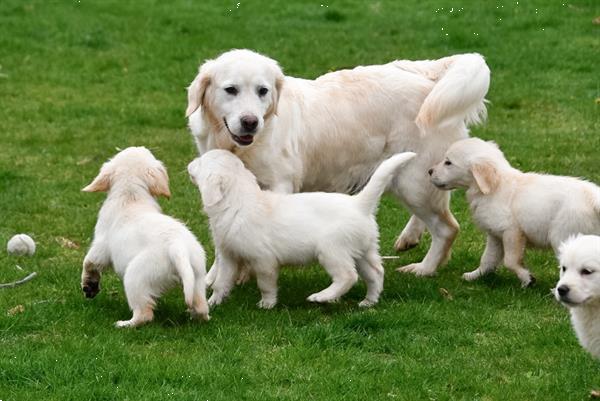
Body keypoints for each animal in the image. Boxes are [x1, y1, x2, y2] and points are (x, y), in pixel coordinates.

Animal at [81, 145, 210, 326]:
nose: (141, 146)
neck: (130, 196)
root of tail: (177, 247)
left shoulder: (101, 246)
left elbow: (89, 262)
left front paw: (89, 286)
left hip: (135, 276)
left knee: (144, 313)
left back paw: (124, 324)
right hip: (197, 276)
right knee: (201, 307)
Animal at [188, 48, 492, 278]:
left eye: (262, 91)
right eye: (231, 90)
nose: (251, 122)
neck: (239, 147)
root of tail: (427, 76)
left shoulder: (278, 185)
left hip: (413, 182)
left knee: (447, 228)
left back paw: (423, 269)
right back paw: (410, 238)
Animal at [188, 148, 418, 308]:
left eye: (202, 161)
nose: (189, 164)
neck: (238, 201)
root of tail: (359, 204)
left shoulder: (263, 260)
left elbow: (266, 284)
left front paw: (267, 304)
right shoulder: (229, 256)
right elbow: (221, 282)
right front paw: (213, 302)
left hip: (332, 250)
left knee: (347, 277)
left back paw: (321, 297)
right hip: (363, 251)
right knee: (376, 273)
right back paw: (369, 302)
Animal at [428, 139, 596, 286]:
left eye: (448, 162)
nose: (429, 171)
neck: (495, 186)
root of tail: (593, 198)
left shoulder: (511, 231)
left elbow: (510, 261)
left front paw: (527, 279)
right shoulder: (495, 236)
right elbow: (487, 259)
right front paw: (474, 275)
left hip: (562, 235)